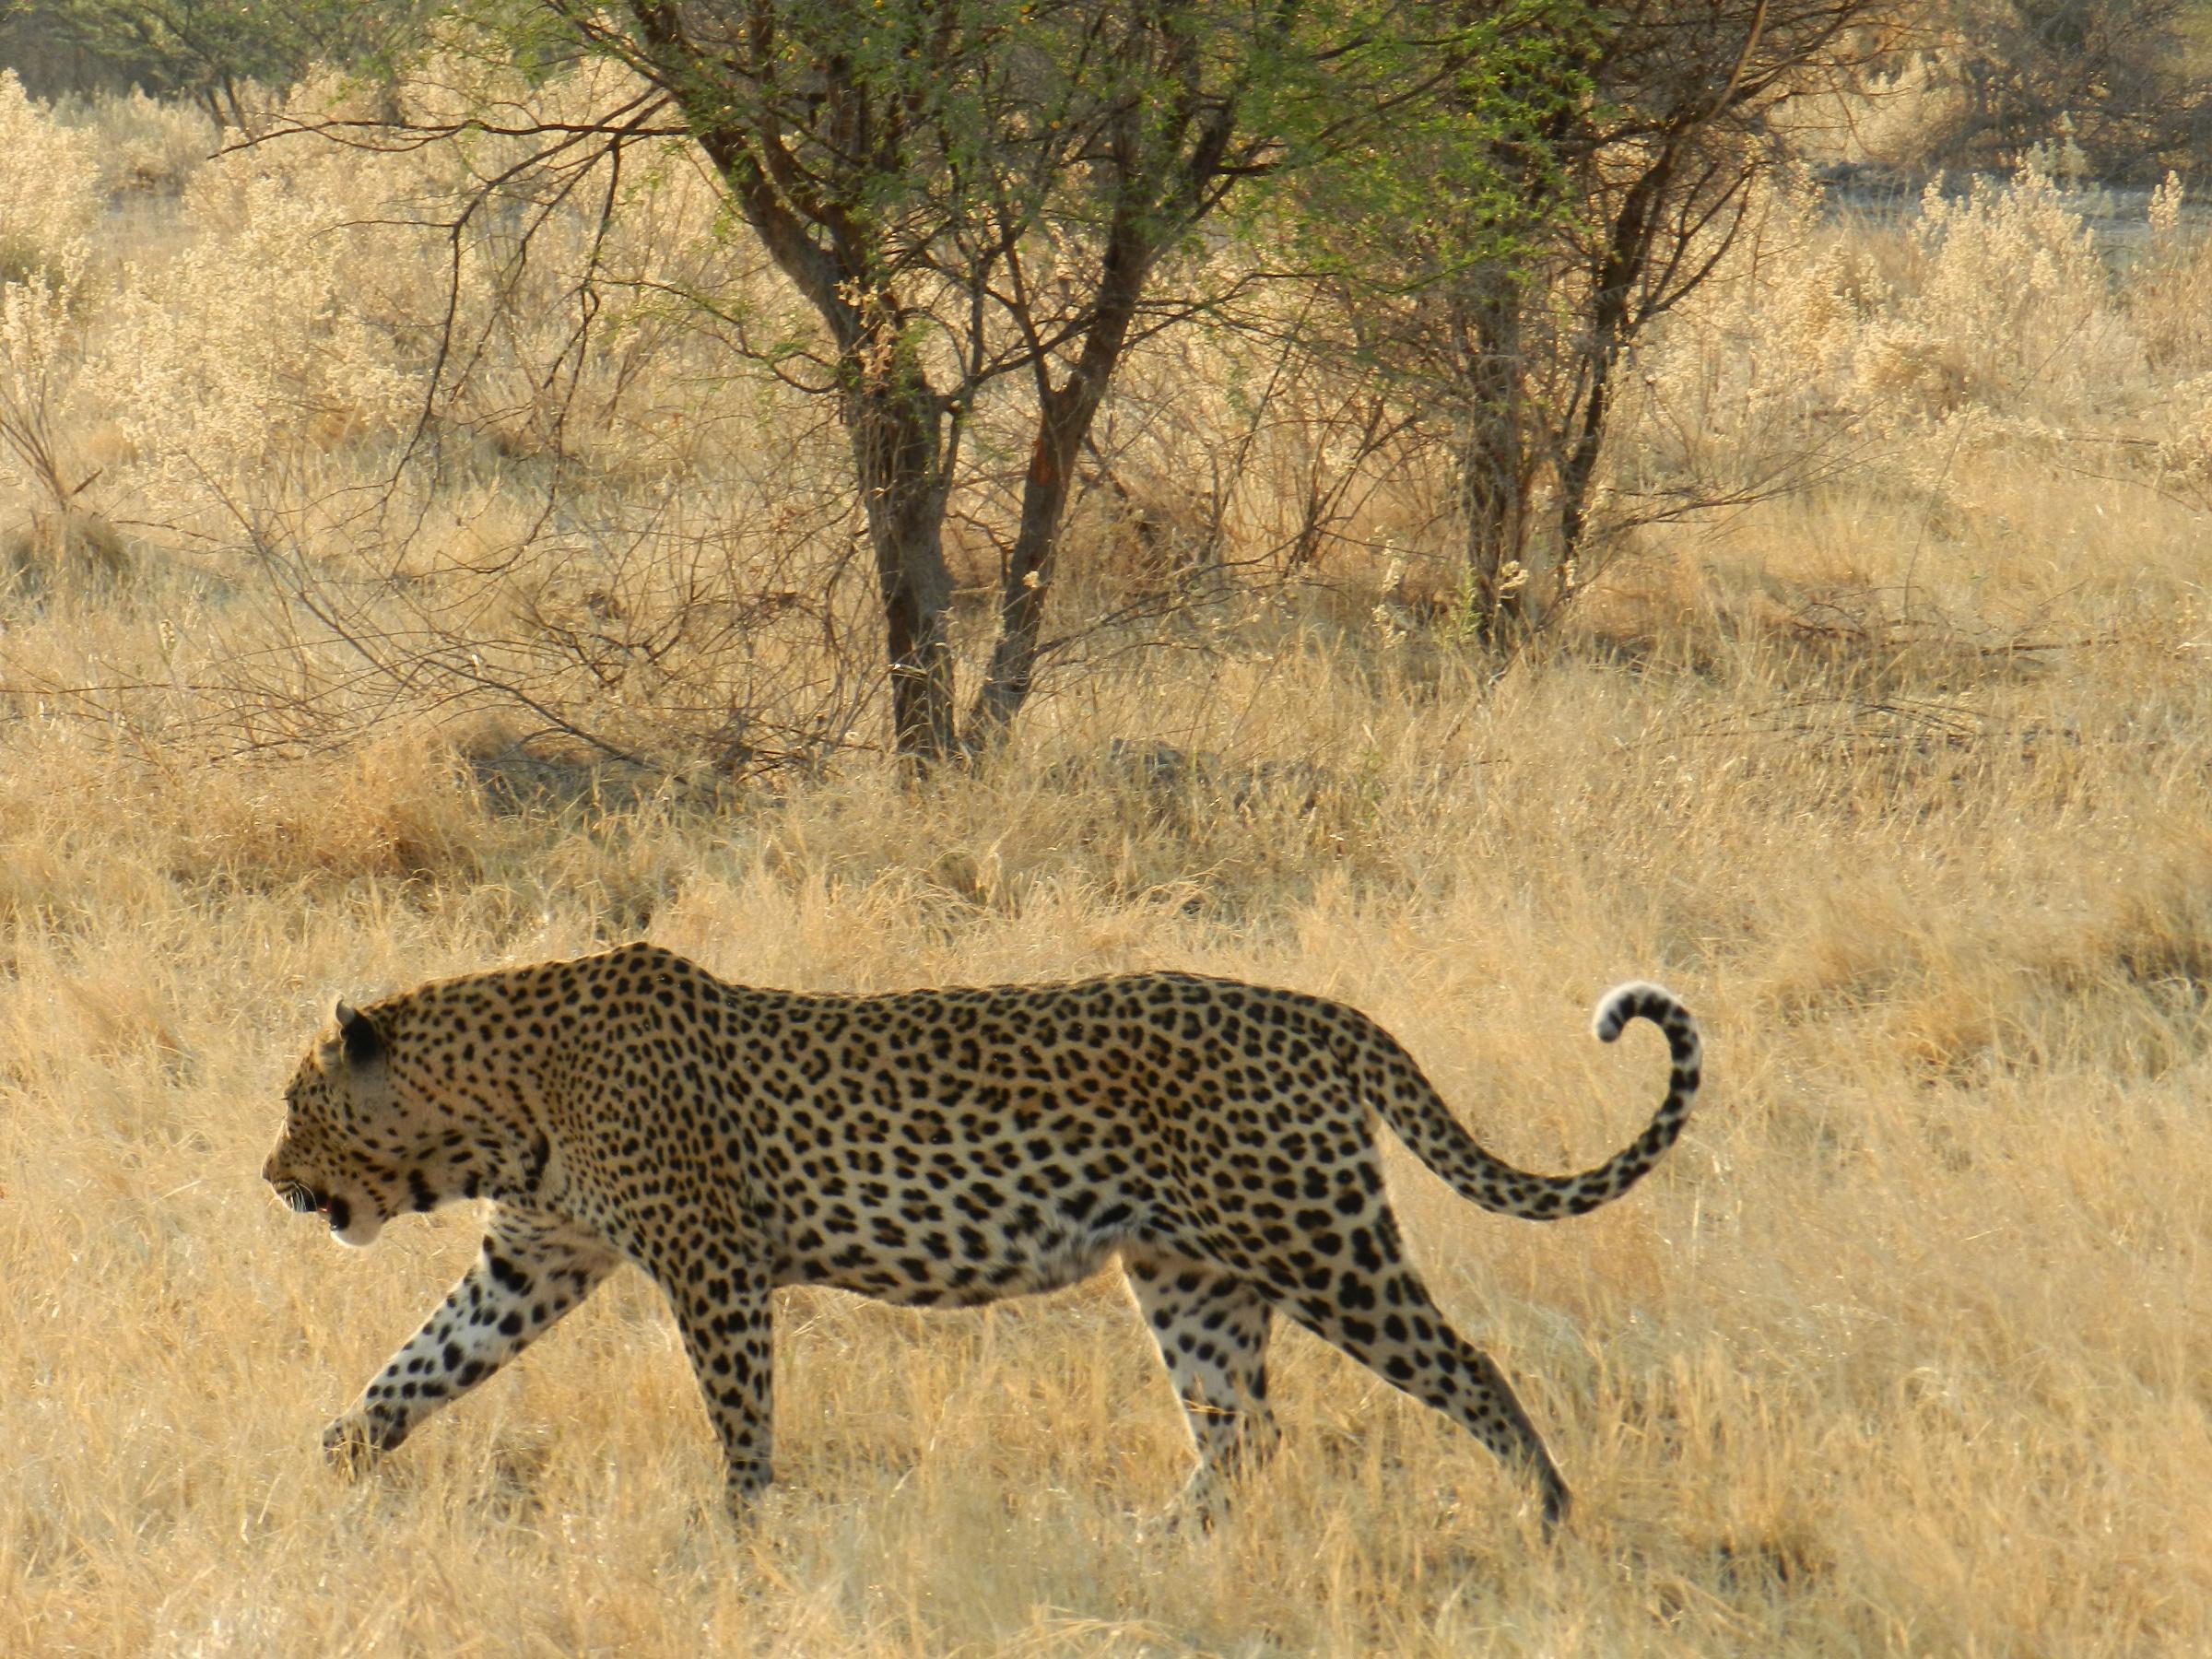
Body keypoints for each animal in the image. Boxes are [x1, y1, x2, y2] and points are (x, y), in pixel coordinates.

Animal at [263, 941, 1701, 1535]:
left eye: (293, 1106)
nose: (271, 1179)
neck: (500, 1103)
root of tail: (1319, 1012)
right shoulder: (532, 1260)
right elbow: (411, 1372)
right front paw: (322, 1474)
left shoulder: (714, 1268)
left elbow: (740, 1415)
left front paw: (743, 1534)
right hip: (1191, 1276)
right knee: (1243, 1426)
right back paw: (1158, 1545)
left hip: (1318, 1242)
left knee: (1466, 1367)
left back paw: (1550, 1516)